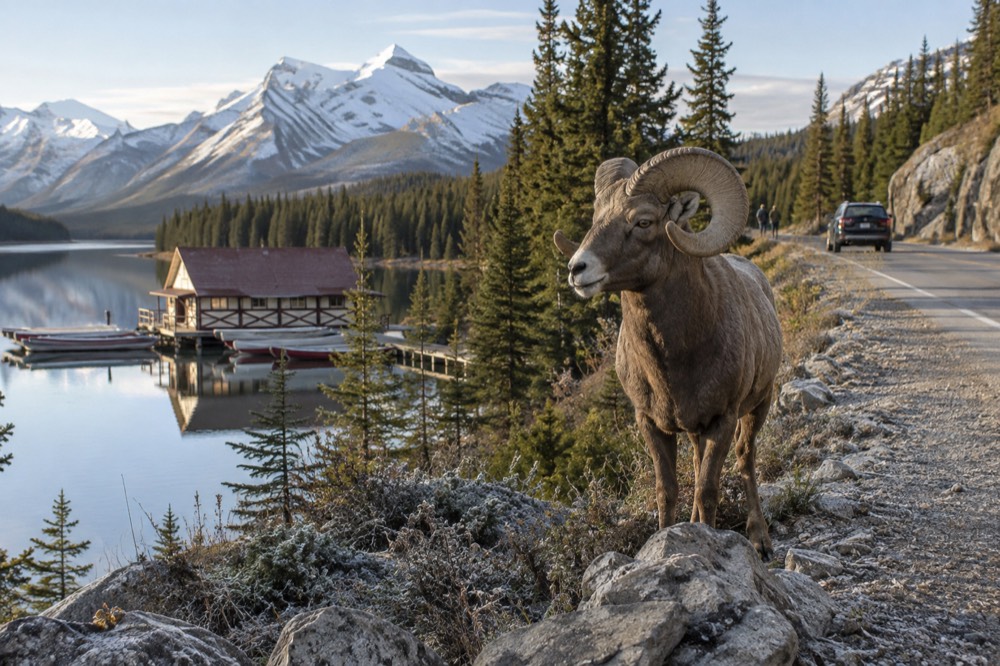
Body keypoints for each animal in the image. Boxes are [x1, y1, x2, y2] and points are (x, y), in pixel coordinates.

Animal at [553, 146, 782, 557]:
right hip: (694, 431)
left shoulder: (722, 421)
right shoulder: (651, 423)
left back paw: (760, 540)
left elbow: (708, 491)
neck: (674, 362)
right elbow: (668, 491)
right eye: (597, 219)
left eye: (643, 221)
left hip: (759, 405)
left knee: (745, 459)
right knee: (698, 461)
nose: (577, 269)